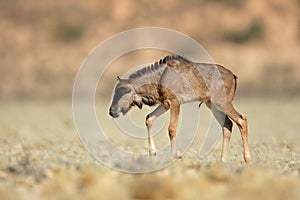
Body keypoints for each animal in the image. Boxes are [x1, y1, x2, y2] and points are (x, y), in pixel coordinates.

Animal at [109, 54, 251, 162]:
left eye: (123, 90)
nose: (112, 111)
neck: (160, 77)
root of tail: (232, 75)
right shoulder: (165, 105)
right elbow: (149, 119)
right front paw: (153, 153)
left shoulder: (175, 103)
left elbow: (171, 129)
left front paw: (174, 156)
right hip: (212, 105)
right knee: (227, 125)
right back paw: (223, 160)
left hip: (221, 102)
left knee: (241, 119)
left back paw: (247, 159)